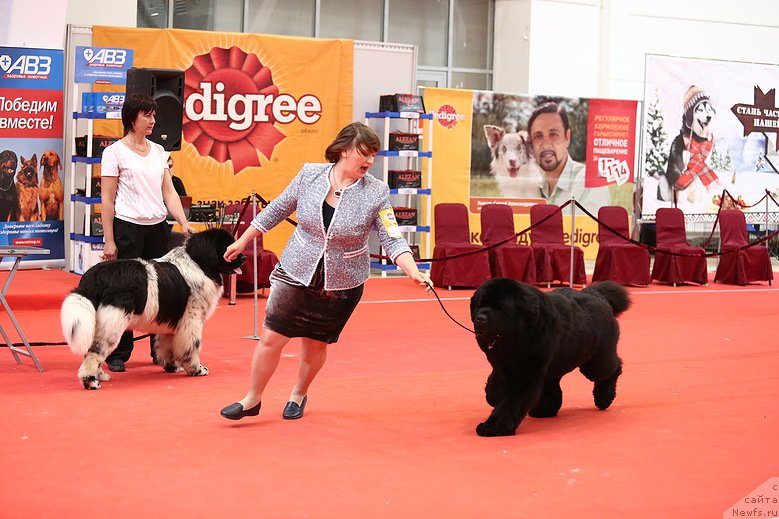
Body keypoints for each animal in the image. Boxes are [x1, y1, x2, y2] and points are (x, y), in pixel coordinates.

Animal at [63, 229, 247, 390]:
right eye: (227, 246)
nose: (244, 256)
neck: (199, 264)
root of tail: (95, 276)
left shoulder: (171, 322)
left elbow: (168, 346)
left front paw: (172, 366)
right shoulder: (191, 321)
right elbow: (192, 346)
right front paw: (197, 369)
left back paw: (100, 375)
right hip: (111, 325)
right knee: (93, 353)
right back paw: (90, 381)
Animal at [470, 278, 632, 436]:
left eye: (500, 307)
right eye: (478, 305)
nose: (480, 318)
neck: (518, 333)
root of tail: (597, 294)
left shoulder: (526, 373)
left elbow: (509, 404)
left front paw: (493, 427)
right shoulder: (502, 366)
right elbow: (493, 388)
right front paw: (494, 398)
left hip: (595, 363)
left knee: (612, 369)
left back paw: (604, 398)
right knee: (552, 386)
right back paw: (545, 410)